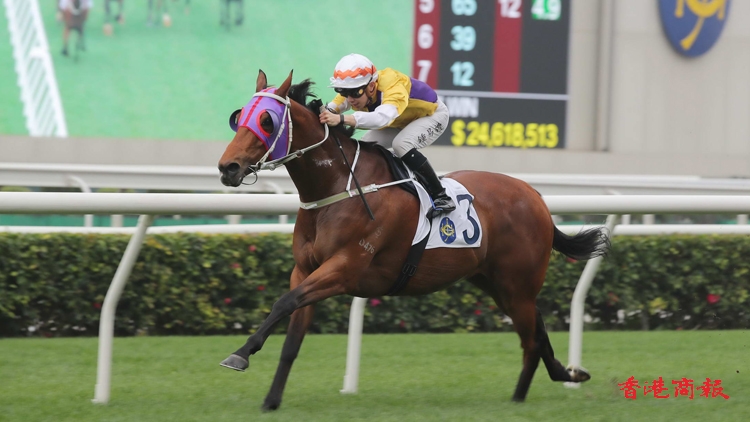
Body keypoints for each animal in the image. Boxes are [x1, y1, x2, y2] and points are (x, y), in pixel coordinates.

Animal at [217, 70, 609, 411]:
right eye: (238, 117)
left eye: (267, 121)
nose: (227, 168)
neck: (336, 187)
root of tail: (536, 197)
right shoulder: (305, 270)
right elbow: (291, 338)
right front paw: (271, 400)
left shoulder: (343, 269)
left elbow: (283, 303)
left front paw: (240, 354)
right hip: (497, 283)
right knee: (536, 328)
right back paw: (562, 375)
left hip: (517, 282)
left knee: (530, 339)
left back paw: (520, 398)